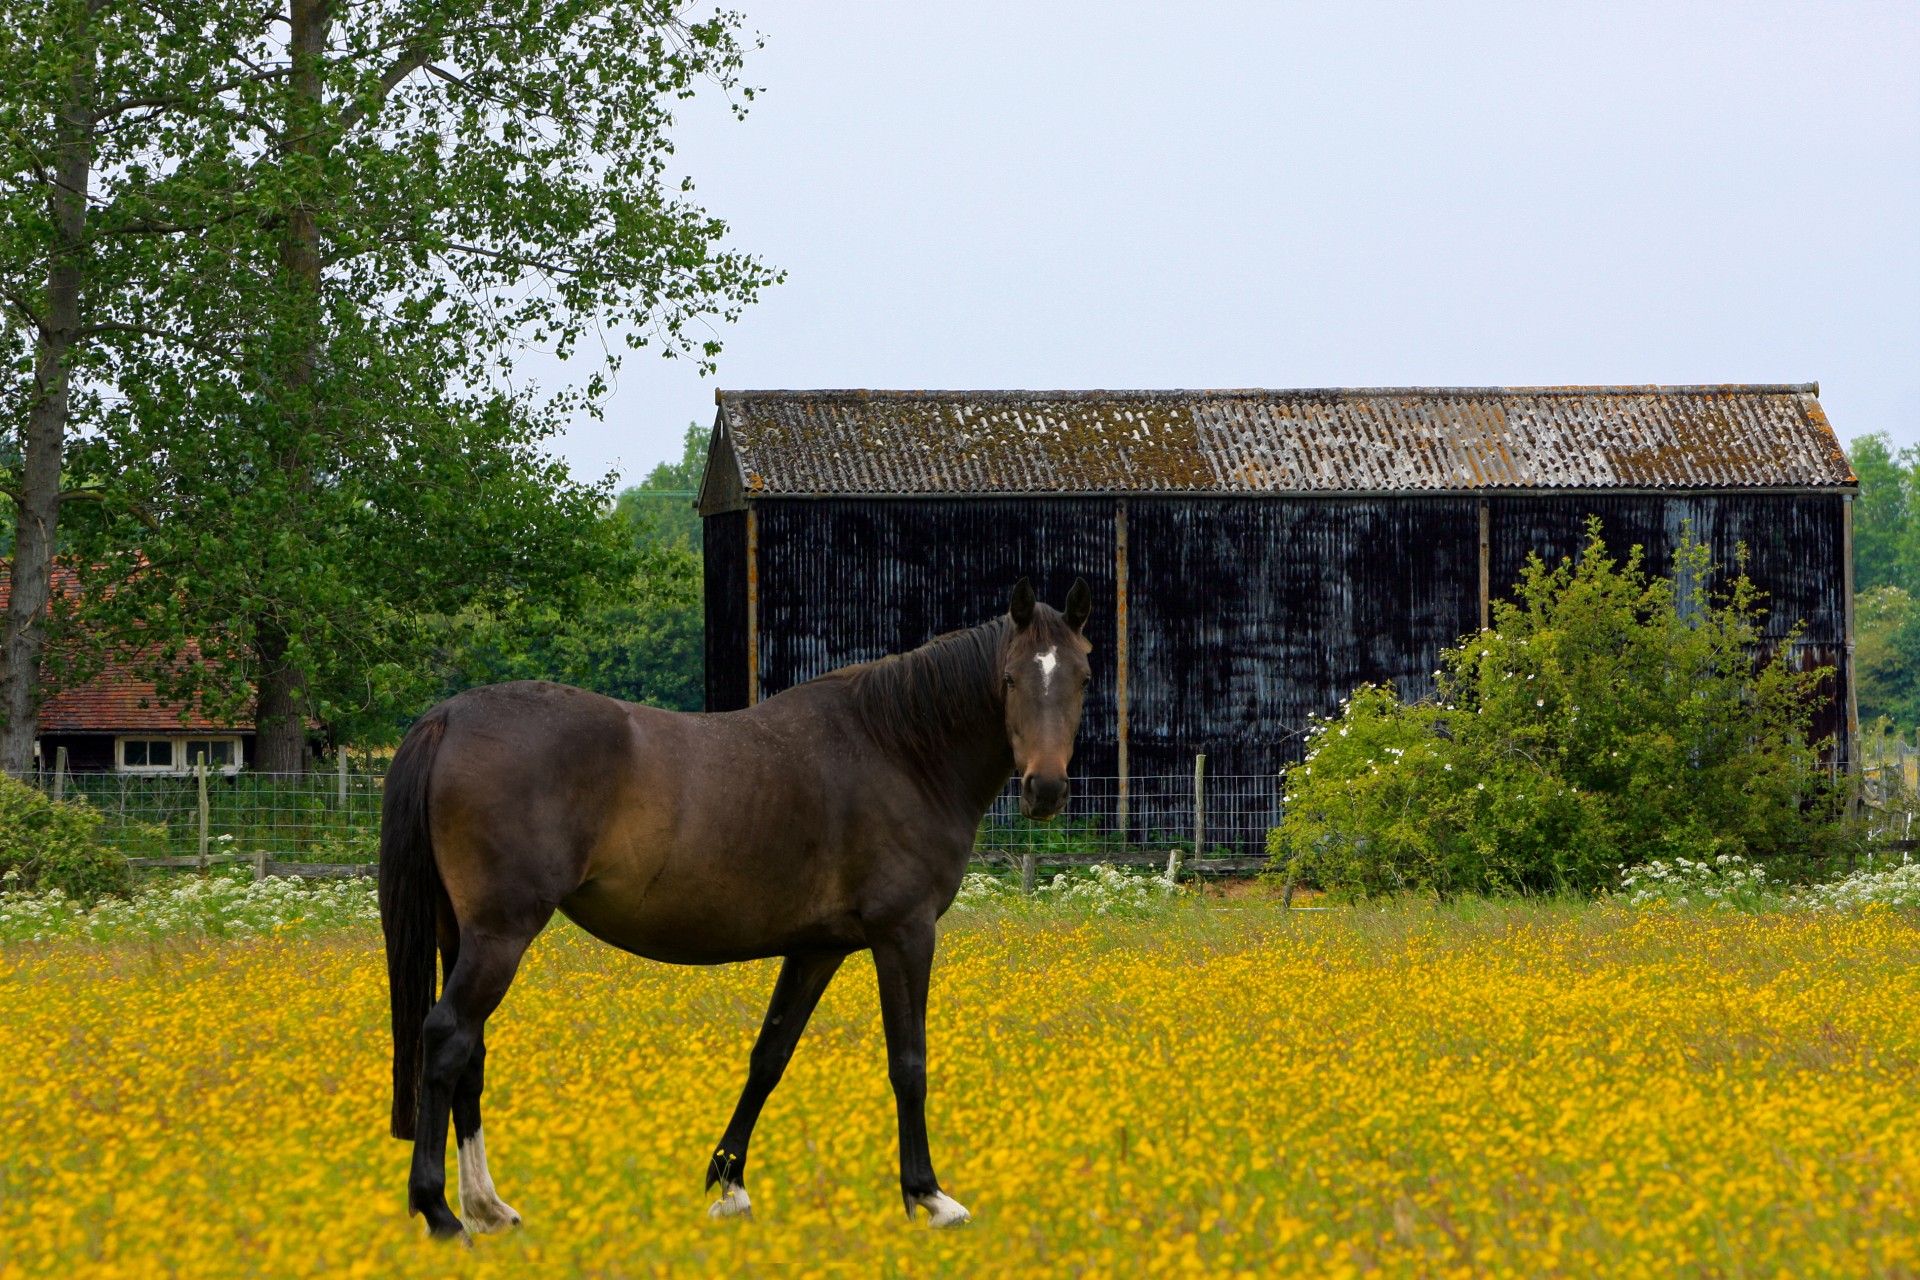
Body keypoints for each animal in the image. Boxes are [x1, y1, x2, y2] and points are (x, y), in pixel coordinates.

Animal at [378, 575, 1098, 1235]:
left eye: (1084, 678)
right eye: (1009, 678)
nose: (1045, 789)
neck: (899, 748)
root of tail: (450, 717)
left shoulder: (817, 948)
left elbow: (769, 1057)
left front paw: (729, 1185)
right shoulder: (905, 933)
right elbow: (908, 1063)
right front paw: (929, 1195)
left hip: (463, 936)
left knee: (470, 1053)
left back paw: (488, 1207)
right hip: (500, 935)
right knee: (447, 1037)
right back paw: (440, 1212)